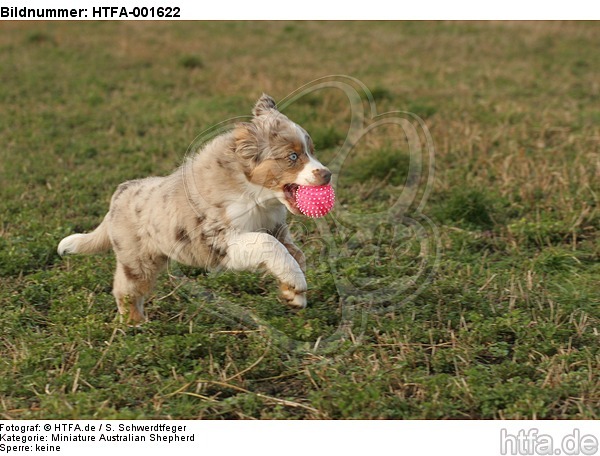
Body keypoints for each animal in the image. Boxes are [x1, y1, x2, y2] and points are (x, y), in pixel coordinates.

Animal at [57, 94, 332, 324]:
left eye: (311, 151)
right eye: (292, 157)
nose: (327, 174)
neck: (256, 195)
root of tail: (120, 192)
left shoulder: (276, 228)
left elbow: (296, 254)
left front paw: (294, 294)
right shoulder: (220, 238)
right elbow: (269, 245)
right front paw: (296, 283)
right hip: (136, 259)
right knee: (126, 289)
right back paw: (135, 326)